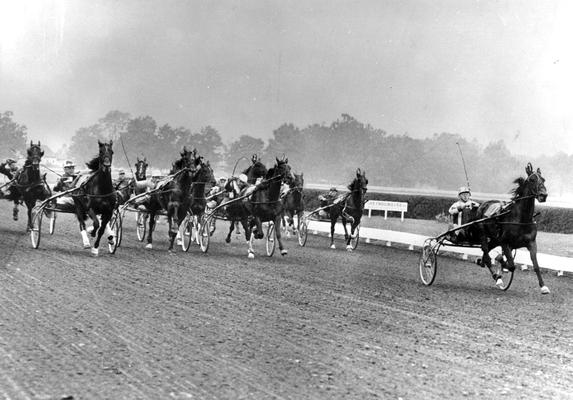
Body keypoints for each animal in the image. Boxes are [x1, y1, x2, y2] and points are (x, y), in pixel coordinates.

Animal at [470, 162, 548, 294]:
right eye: (532, 179)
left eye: (543, 179)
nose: (544, 195)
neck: (521, 219)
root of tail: (482, 205)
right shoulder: (505, 242)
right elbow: (511, 264)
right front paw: (500, 261)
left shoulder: (531, 243)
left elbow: (536, 265)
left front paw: (543, 286)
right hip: (484, 234)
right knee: (485, 252)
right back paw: (496, 276)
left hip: (495, 240)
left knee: (486, 254)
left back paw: (485, 265)